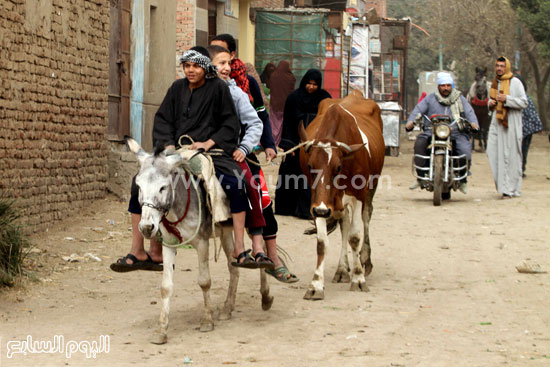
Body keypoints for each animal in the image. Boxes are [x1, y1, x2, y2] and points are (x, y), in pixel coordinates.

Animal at [300, 90, 386, 300]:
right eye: (310, 166)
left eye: (337, 167)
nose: (323, 212)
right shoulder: (319, 202)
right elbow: (322, 242)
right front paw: (316, 285)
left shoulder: (358, 195)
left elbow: (354, 237)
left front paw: (359, 278)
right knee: (344, 223)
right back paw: (342, 269)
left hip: (372, 186)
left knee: (366, 217)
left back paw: (364, 260)